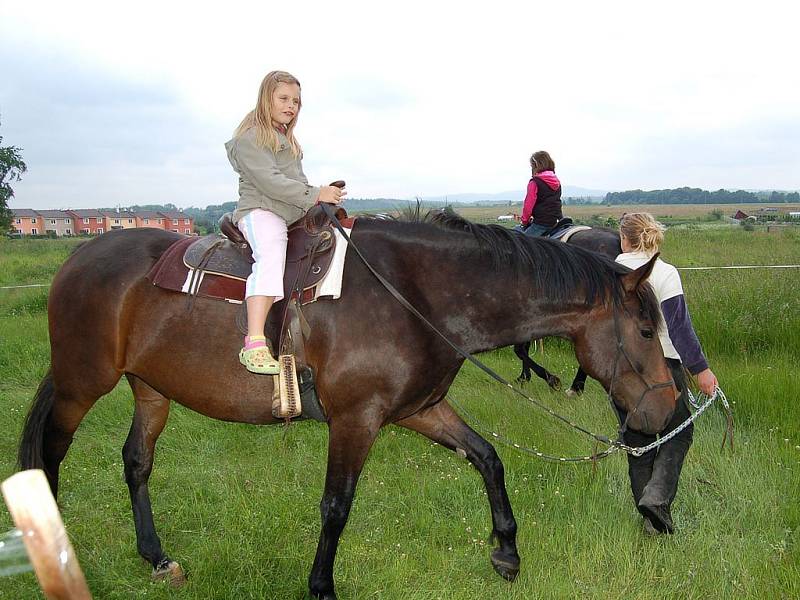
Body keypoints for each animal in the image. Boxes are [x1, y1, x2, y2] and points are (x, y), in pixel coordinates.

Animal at [17, 213, 676, 596]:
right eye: (647, 330)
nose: (668, 410)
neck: (415, 294)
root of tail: (77, 259)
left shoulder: (418, 409)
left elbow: (488, 458)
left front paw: (507, 552)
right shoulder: (355, 421)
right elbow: (336, 507)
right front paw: (321, 587)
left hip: (151, 387)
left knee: (136, 462)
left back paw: (156, 559)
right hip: (81, 385)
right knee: (49, 459)